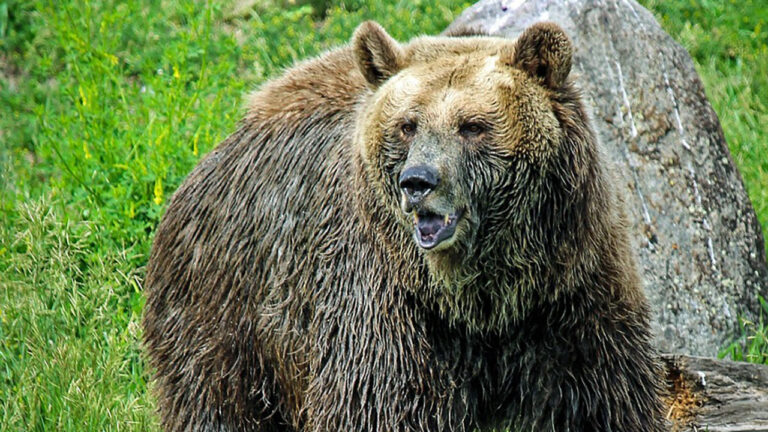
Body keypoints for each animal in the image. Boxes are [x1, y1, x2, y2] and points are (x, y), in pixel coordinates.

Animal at [143, 20, 667, 432]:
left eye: (472, 125)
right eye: (408, 125)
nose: (417, 182)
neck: (484, 298)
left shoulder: (573, 292)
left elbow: (600, 402)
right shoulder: (387, 306)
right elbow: (380, 405)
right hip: (228, 308)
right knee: (215, 403)